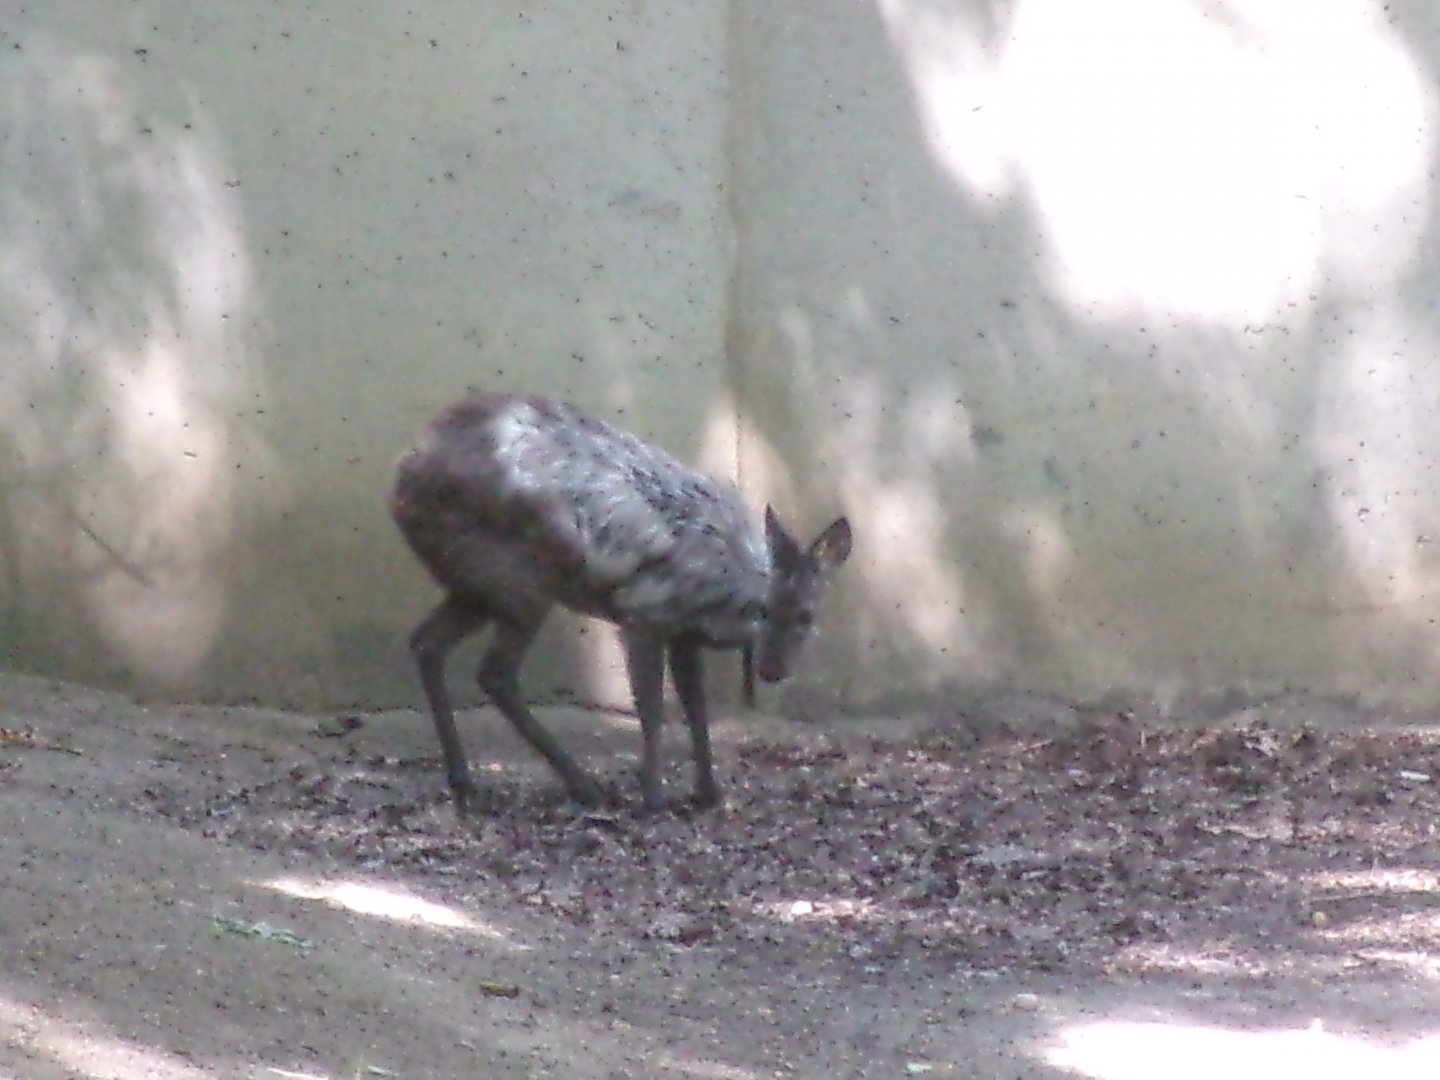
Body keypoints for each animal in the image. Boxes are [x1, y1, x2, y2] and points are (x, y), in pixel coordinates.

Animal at [389, 393, 852, 814]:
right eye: (765, 610)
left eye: (808, 615)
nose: (772, 670)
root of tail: (401, 478)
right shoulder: (642, 613)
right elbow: (651, 706)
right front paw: (654, 798)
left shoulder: (682, 632)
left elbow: (695, 706)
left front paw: (708, 792)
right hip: (518, 581)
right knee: (495, 673)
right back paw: (582, 786)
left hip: (474, 586)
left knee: (427, 642)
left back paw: (465, 783)